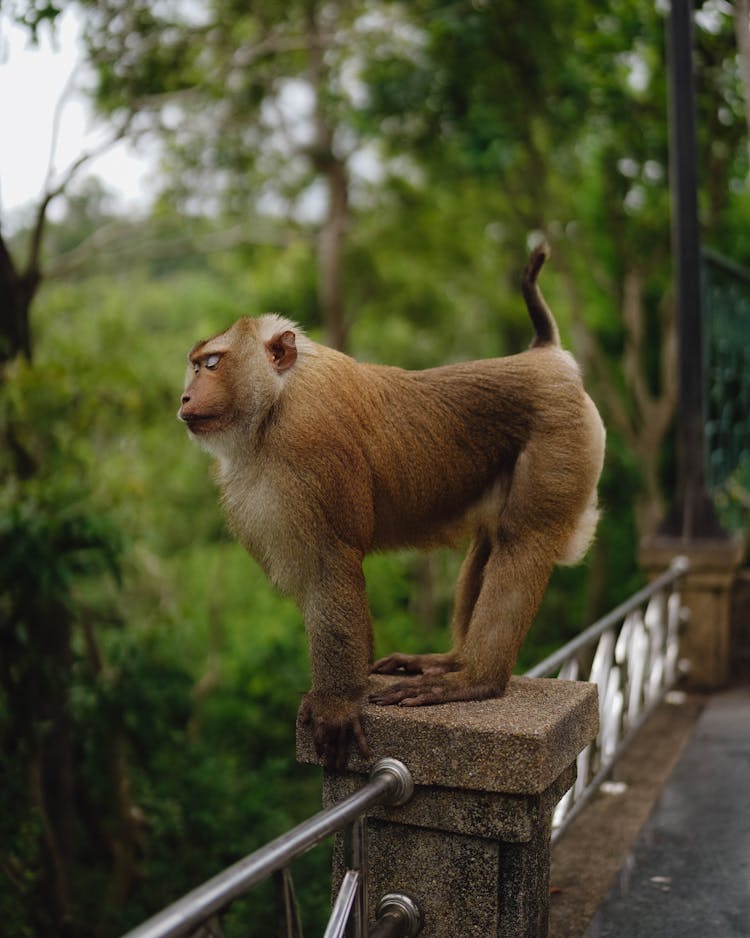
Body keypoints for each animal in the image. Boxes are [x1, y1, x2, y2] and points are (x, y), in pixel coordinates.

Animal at [179, 247, 608, 768]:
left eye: (212, 363)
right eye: (196, 365)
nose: (185, 395)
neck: (279, 399)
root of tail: (548, 356)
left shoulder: (310, 445)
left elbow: (329, 566)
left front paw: (337, 703)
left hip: (561, 436)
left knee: (523, 540)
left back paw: (476, 681)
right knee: (491, 541)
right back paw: (451, 661)